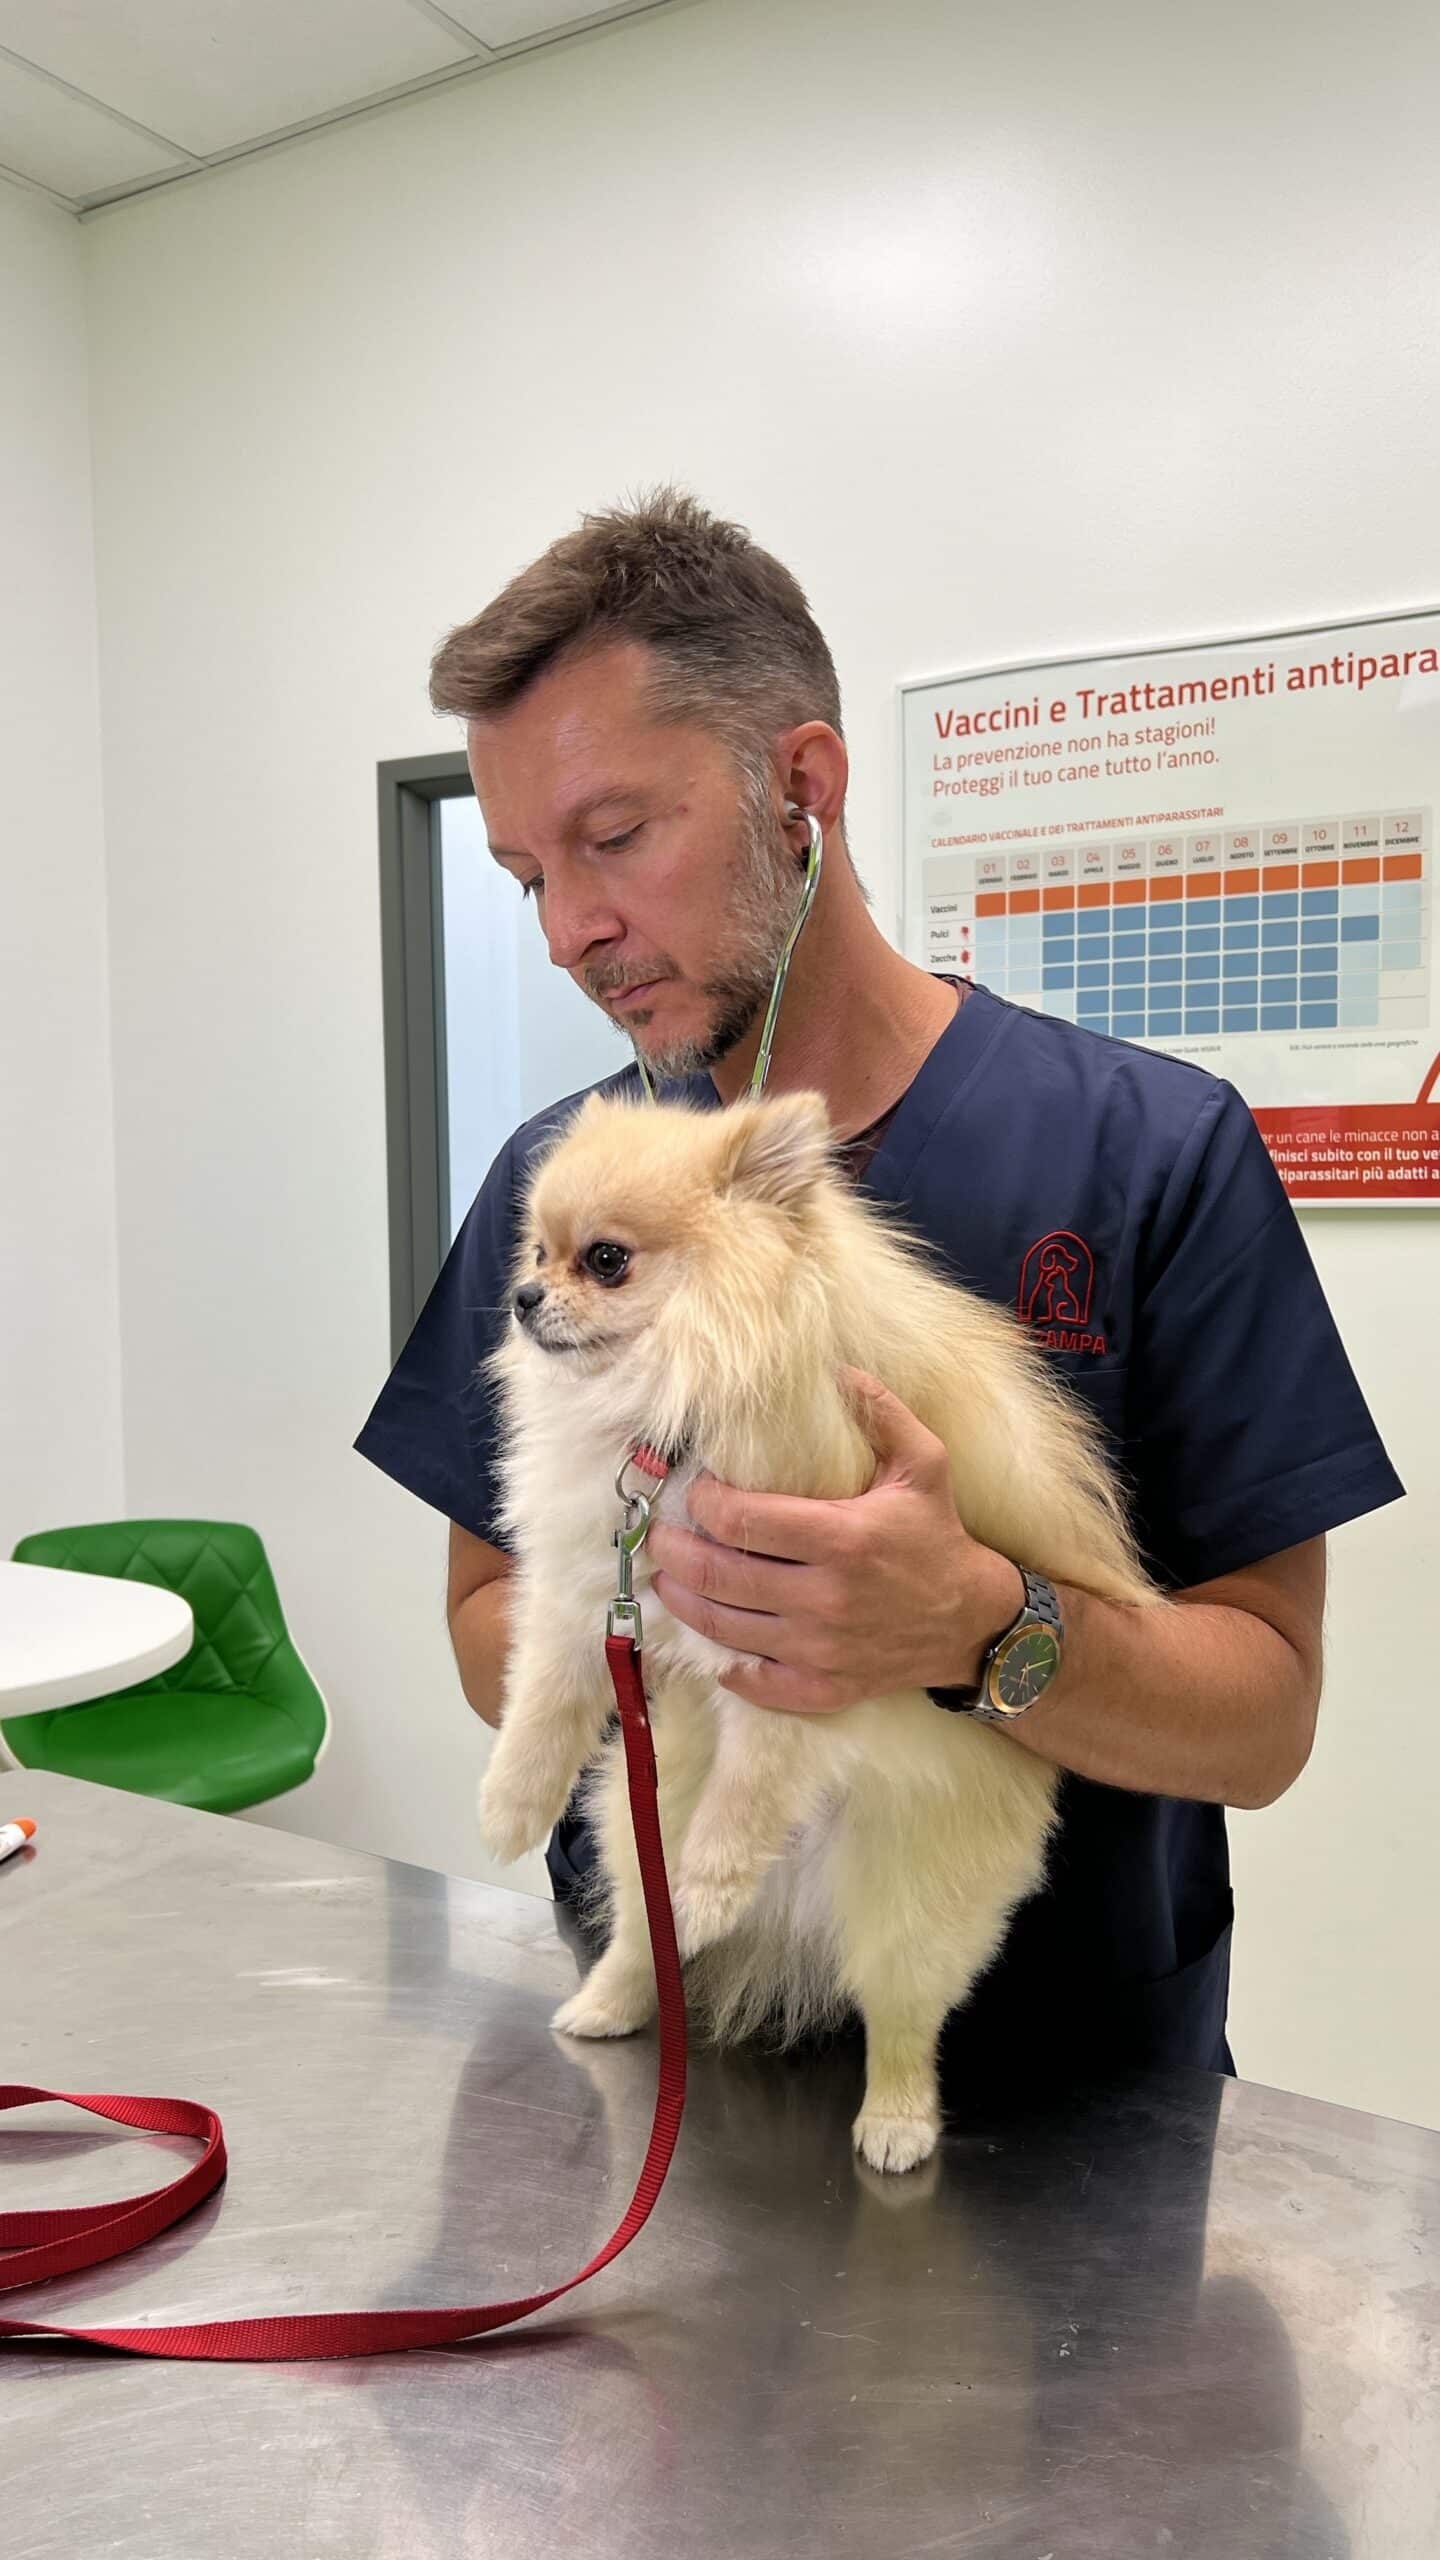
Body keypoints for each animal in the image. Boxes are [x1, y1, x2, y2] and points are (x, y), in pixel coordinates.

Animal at [477, 1088, 1156, 2171]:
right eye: (537, 1250)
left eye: (606, 1259)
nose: (524, 1298)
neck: (671, 1414)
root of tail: (796, 1905)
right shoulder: (588, 1587)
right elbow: (542, 1703)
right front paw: (507, 1806)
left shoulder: (798, 1652)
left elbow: (748, 1793)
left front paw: (716, 1881)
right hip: (637, 1816)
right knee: (645, 1933)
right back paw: (607, 2003)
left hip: (913, 1895)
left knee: (902, 2015)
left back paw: (895, 2121)